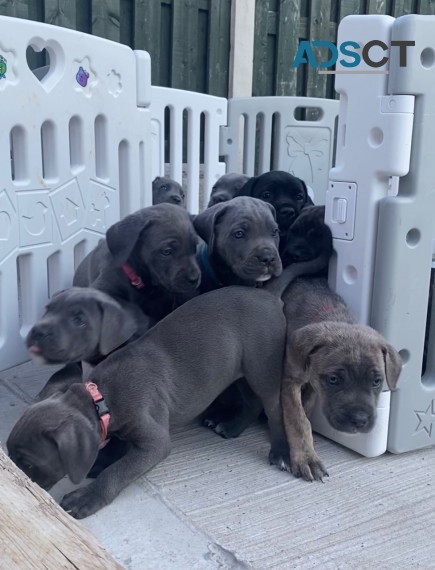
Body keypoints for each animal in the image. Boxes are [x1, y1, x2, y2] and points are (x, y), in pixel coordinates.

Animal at [6, 260, 320, 516]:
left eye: (29, 463)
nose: (22, 485)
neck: (101, 399)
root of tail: (267, 294)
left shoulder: (156, 442)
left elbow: (118, 472)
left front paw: (88, 496)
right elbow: (117, 446)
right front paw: (102, 458)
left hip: (262, 367)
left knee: (274, 408)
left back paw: (280, 452)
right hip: (236, 367)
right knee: (252, 401)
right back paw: (230, 426)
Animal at [282, 278, 404, 482]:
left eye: (377, 381)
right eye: (333, 379)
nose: (360, 420)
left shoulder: (313, 386)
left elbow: (306, 410)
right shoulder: (291, 380)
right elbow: (298, 420)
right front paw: (306, 458)